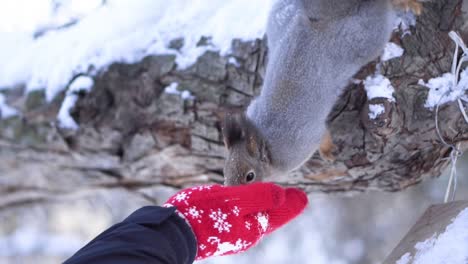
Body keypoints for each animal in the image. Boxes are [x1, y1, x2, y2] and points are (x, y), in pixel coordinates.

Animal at [221, 0, 422, 186]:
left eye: (250, 176)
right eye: (225, 173)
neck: (265, 140)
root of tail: (321, 20)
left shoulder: (303, 140)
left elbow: (322, 135)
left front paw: (328, 151)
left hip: (367, 37)